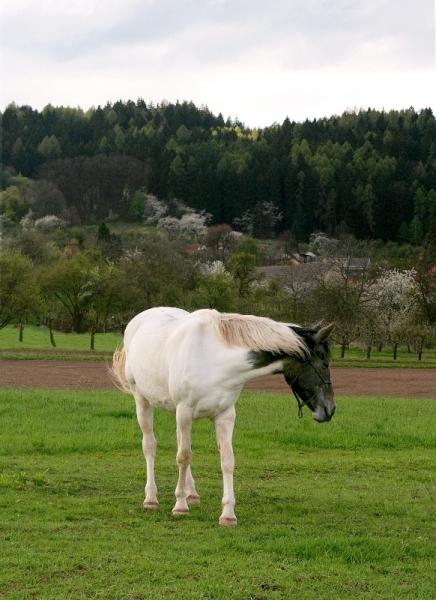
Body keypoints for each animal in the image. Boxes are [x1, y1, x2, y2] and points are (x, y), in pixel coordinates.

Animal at [111, 308, 334, 528]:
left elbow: (226, 460)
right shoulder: (184, 412)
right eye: (324, 363)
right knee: (150, 446)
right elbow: (183, 457)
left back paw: (191, 493)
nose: (330, 409)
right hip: (143, 402)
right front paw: (180, 506)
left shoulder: (224, 415)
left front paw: (228, 514)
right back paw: (151, 498)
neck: (214, 360)